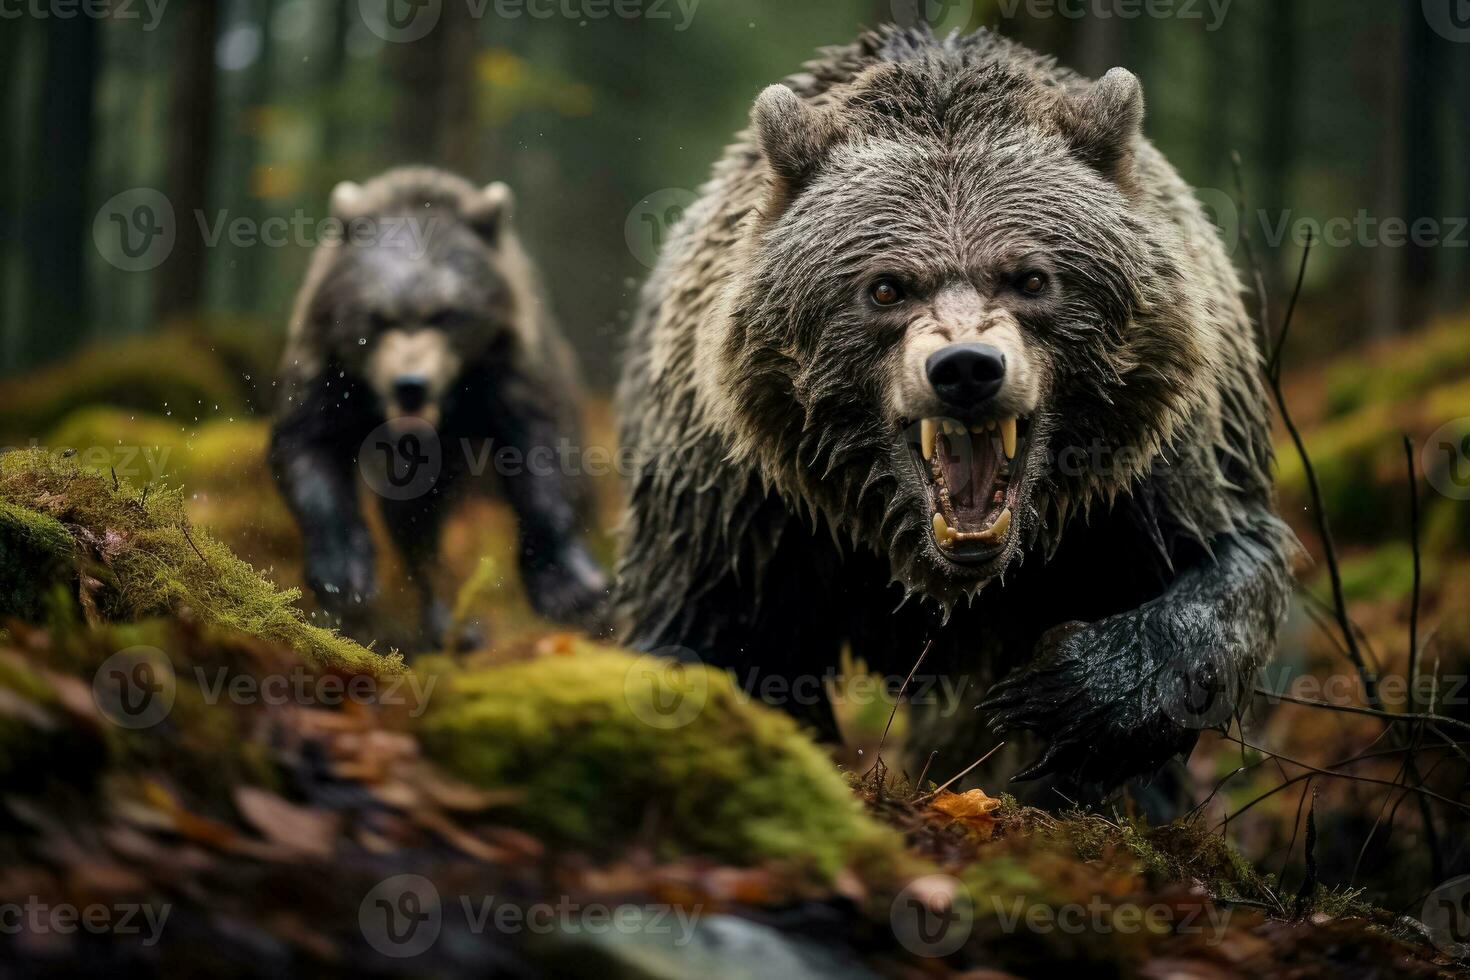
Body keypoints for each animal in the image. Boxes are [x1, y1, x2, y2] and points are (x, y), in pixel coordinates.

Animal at [269, 166, 602, 652]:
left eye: (447, 314)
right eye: (377, 317)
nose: (410, 385)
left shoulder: (510, 367)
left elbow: (542, 452)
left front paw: (571, 587)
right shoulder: (327, 368)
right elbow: (307, 443)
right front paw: (344, 574)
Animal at [614, 28, 1293, 799]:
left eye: (1031, 277)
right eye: (885, 287)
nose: (966, 368)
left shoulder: (1163, 460)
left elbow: (1224, 564)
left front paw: (1078, 698)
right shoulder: (746, 499)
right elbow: (705, 627)